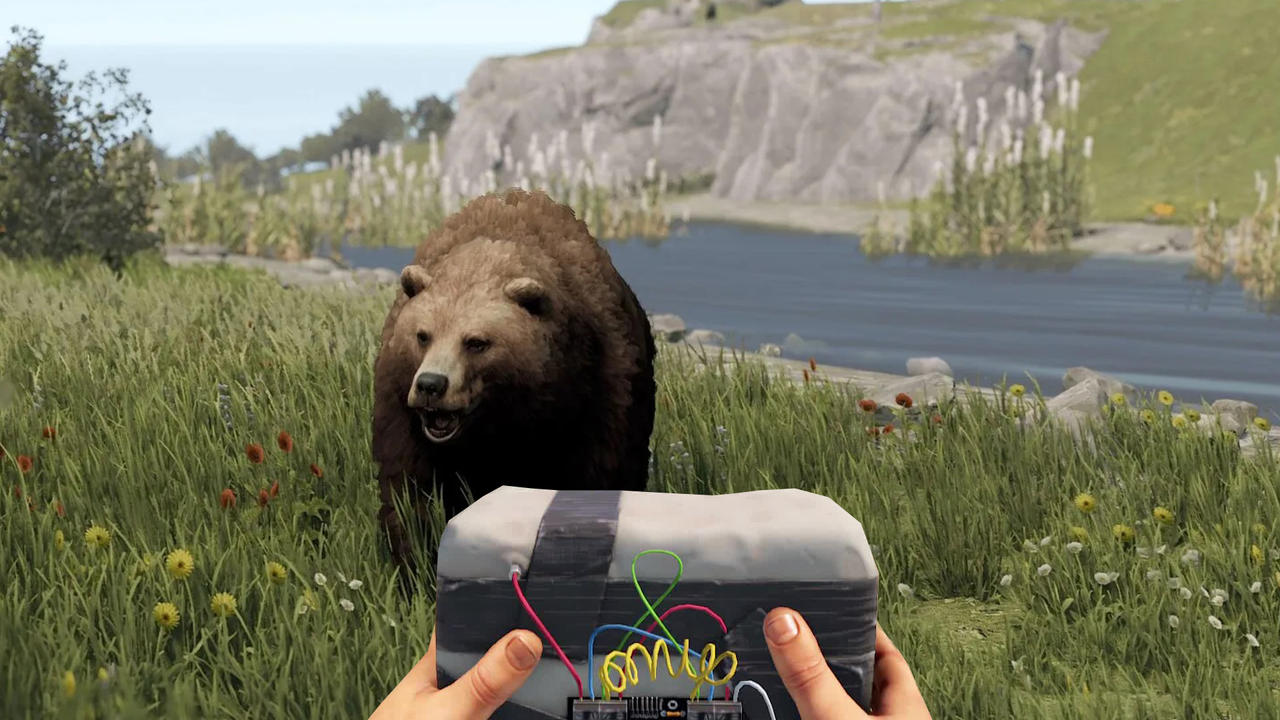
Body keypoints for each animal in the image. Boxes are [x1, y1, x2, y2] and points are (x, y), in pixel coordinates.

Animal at [371, 188, 657, 589]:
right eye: (422, 335)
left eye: (476, 342)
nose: (431, 385)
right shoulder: (402, 415)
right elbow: (411, 494)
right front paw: (417, 571)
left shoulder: (598, 403)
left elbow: (595, 482)